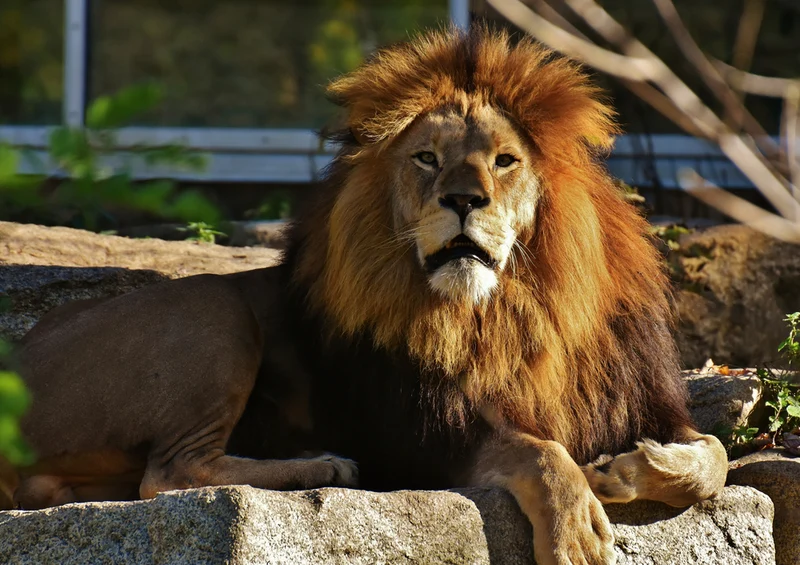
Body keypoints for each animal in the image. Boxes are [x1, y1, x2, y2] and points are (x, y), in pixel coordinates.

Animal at [9, 28, 727, 565]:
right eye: (426, 158)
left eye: (504, 161)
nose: (462, 200)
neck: (510, 312)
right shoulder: (420, 437)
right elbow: (538, 449)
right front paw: (579, 528)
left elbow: (714, 455)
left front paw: (630, 466)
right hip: (214, 310)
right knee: (169, 472)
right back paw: (322, 466)